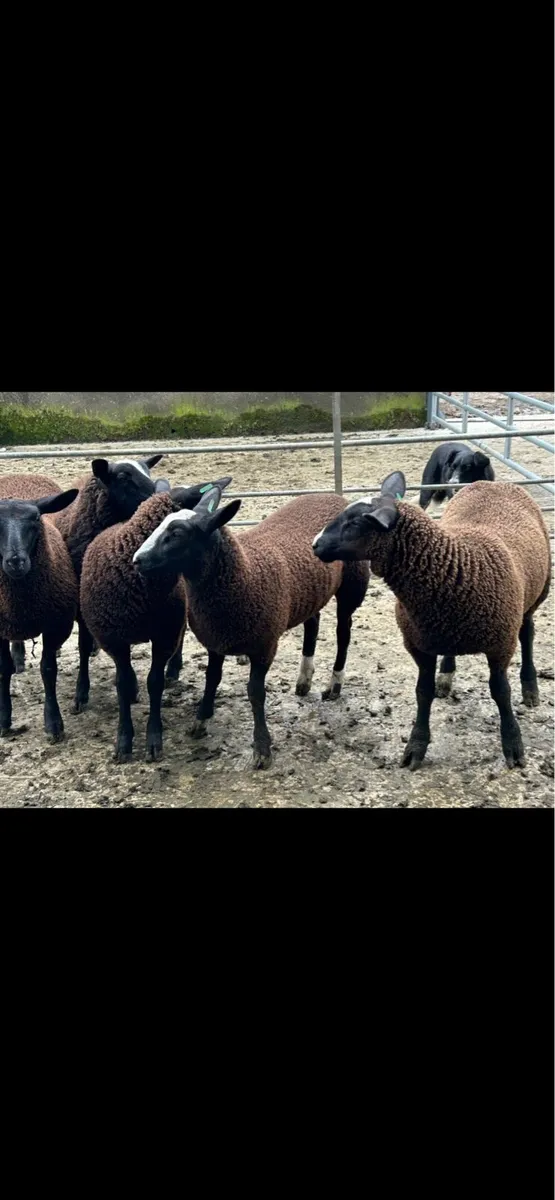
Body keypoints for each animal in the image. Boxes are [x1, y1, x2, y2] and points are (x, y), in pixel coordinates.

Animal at [80, 476, 233, 763]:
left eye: (175, 534)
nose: (139, 560)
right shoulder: (114, 639)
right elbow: (122, 683)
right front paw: (124, 740)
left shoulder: (165, 634)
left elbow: (155, 682)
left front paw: (153, 739)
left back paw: (174, 668)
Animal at [133, 487, 370, 770]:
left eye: (177, 534)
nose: (137, 560)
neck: (244, 572)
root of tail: (332, 496)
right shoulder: (216, 640)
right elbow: (212, 678)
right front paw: (201, 720)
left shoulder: (264, 645)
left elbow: (256, 693)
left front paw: (262, 748)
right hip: (310, 592)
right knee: (312, 624)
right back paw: (304, 679)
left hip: (353, 585)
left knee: (343, 633)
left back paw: (334, 684)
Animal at [313, 472, 551, 771]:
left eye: (355, 522)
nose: (315, 544)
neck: (457, 567)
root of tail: (491, 483)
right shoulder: (419, 645)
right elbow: (422, 692)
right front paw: (415, 746)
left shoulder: (501, 644)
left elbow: (501, 692)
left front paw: (513, 745)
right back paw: (446, 675)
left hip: (536, 594)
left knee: (528, 633)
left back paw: (530, 687)